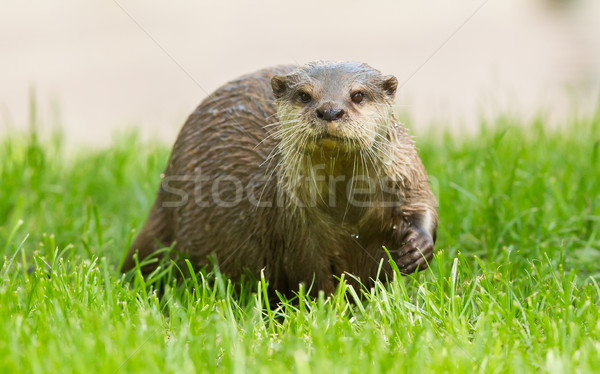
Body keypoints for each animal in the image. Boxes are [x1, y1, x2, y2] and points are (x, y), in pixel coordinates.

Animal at [120, 60, 436, 296]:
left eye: (358, 95)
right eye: (304, 95)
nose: (330, 110)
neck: (346, 210)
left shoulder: (406, 174)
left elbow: (423, 205)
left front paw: (417, 249)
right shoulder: (294, 224)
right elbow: (308, 275)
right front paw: (328, 310)